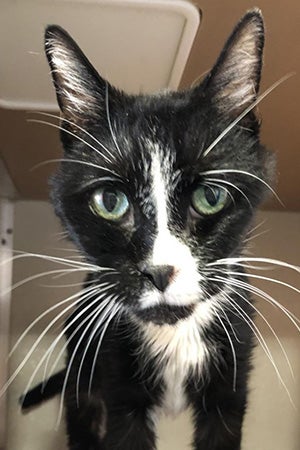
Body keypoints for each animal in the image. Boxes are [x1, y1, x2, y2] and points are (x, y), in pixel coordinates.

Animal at [21, 7, 276, 450]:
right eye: (110, 201)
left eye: (210, 196)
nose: (159, 272)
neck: (174, 338)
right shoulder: (115, 374)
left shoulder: (233, 369)